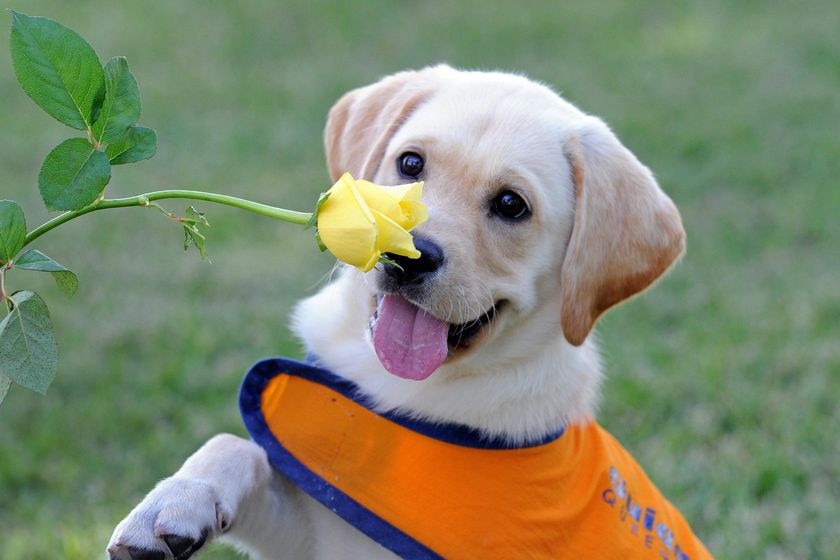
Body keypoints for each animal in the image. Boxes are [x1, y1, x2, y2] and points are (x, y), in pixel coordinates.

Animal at [106, 65, 708, 560]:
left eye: (511, 204)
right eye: (410, 163)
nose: (408, 256)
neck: (402, 393)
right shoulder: (318, 529)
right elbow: (235, 445)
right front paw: (175, 502)